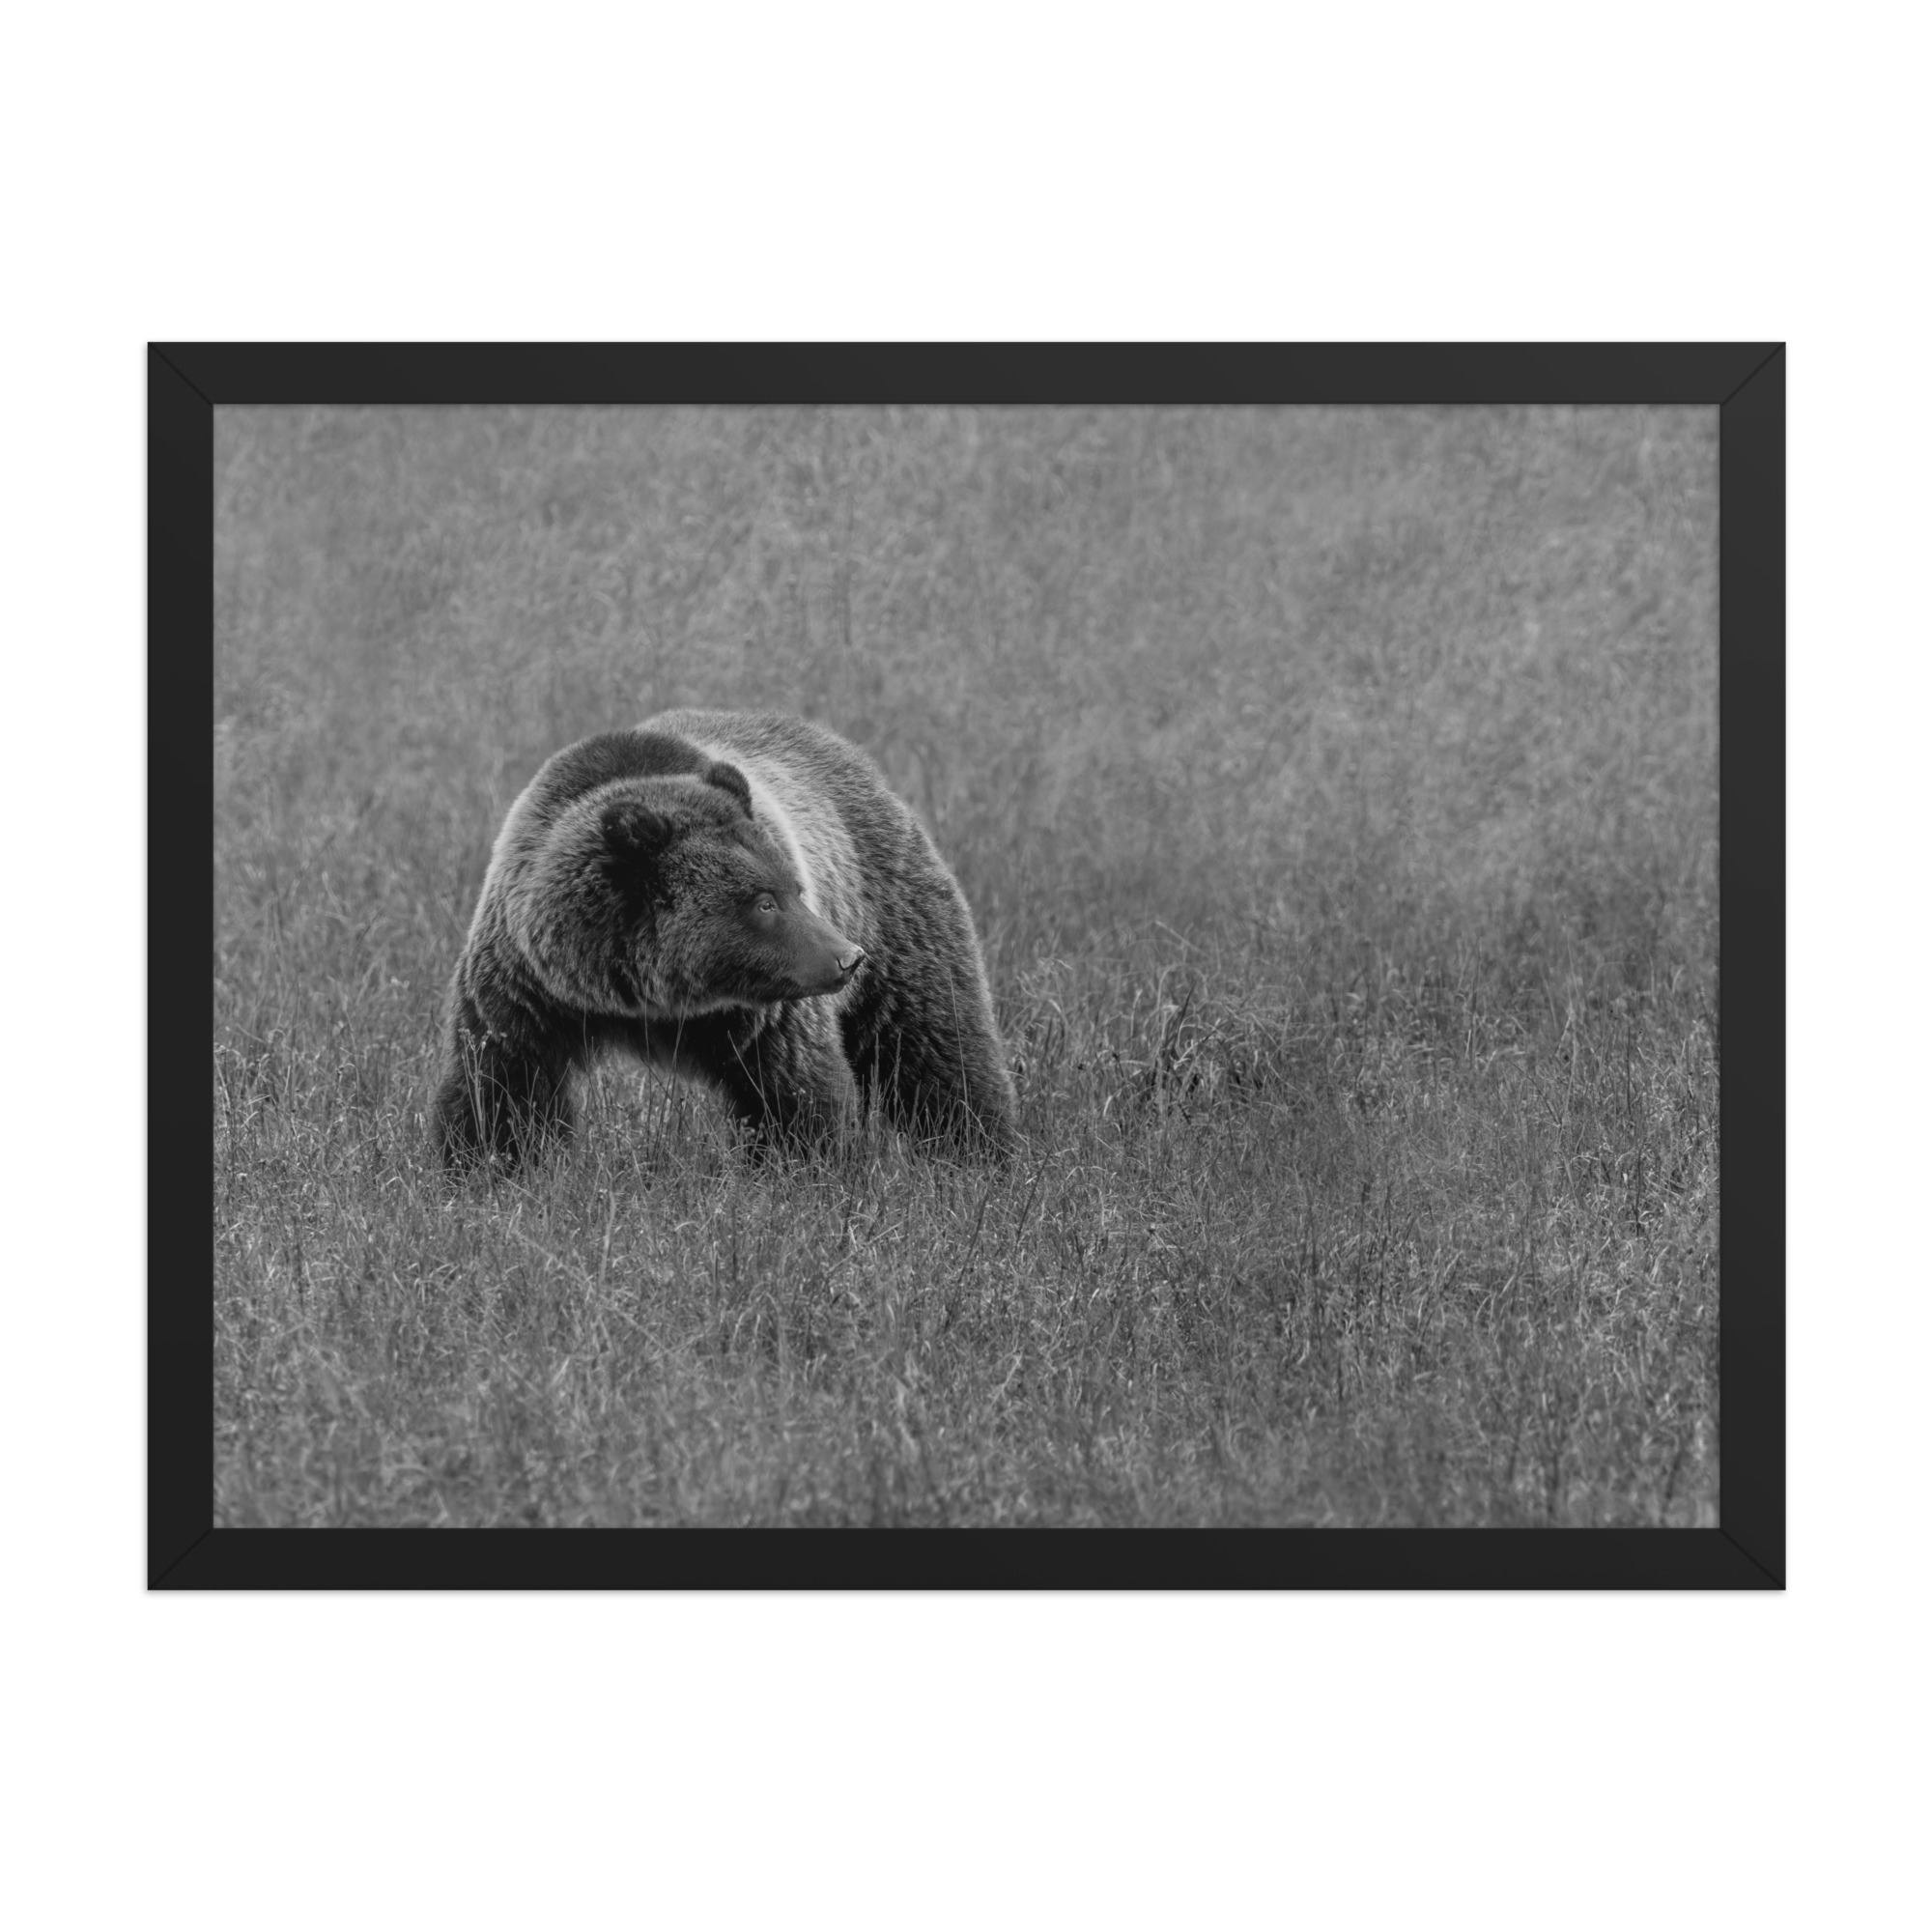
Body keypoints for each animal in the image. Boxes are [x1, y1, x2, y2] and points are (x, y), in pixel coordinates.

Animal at [432, 709, 1016, 1170]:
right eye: (764, 901)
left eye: (795, 888)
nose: (847, 958)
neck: (649, 998)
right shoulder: (529, 988)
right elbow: (502, 1088)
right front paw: (485, 1169)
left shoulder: (765, 1013)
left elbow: (794, 1092)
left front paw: (808, 1171)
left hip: (892, 911)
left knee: (935, 1044)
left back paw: (982, 1155)